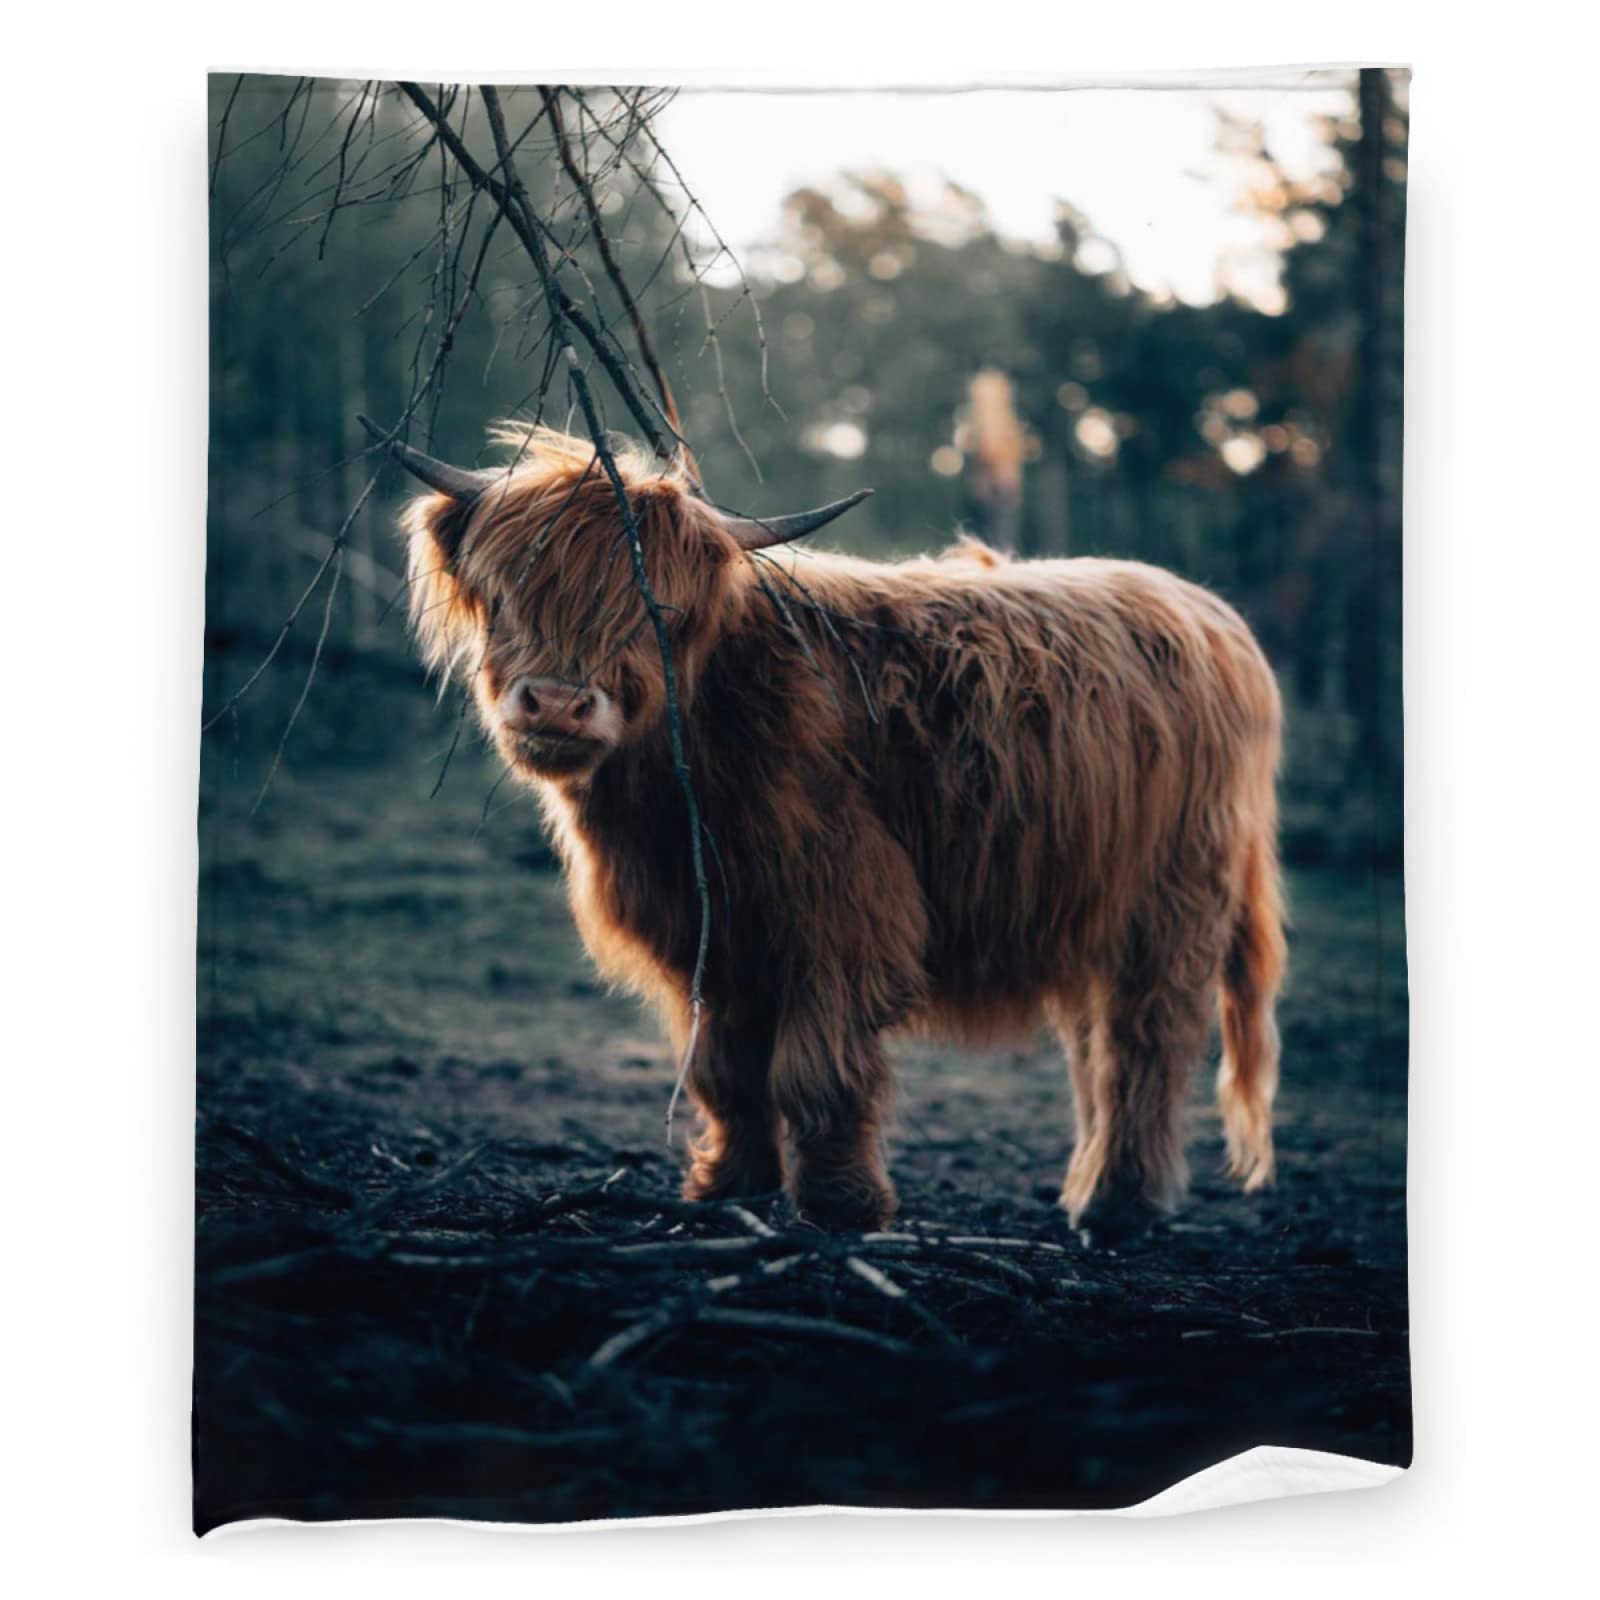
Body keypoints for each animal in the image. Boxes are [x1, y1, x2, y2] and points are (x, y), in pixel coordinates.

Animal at [375, 419, 1286, 1237]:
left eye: (654, 609)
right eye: (506, 592)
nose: (558, 705)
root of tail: (1211, 615)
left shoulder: (845, 914)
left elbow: (814, 1071)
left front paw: (842, 1206)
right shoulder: (710, 930)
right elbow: (725, 1071)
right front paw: (727, 1188)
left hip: (1170, 906)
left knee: (1147, 1040)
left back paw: (1122, 1205)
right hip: (1086, 907)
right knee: (1098, 1047)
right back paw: (1090, 1192)